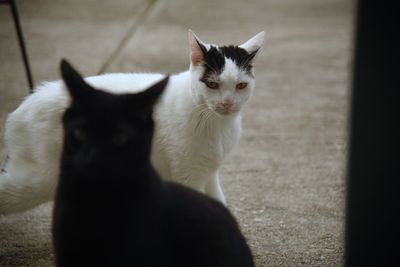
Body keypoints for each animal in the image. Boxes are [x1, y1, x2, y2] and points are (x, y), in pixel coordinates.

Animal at [0, 29, 266, 215]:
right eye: (212, 84)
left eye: (241, 85)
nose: (227, 103)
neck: (213, 122)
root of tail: (24, 105)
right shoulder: (189, 176)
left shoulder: (209, 173)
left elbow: (218, 202)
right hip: (39, 179)